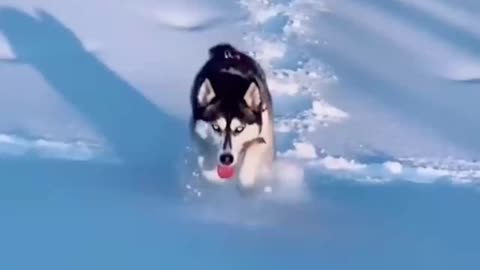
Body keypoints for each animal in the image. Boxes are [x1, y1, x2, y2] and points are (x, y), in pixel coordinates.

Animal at [189, 43, 276, 189]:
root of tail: (228, 52)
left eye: (239, 128)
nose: (226, 159)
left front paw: (245, 178)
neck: (230, 89)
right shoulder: (198, 136)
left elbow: (254, 151)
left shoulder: (263, 135)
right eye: (216, 127)